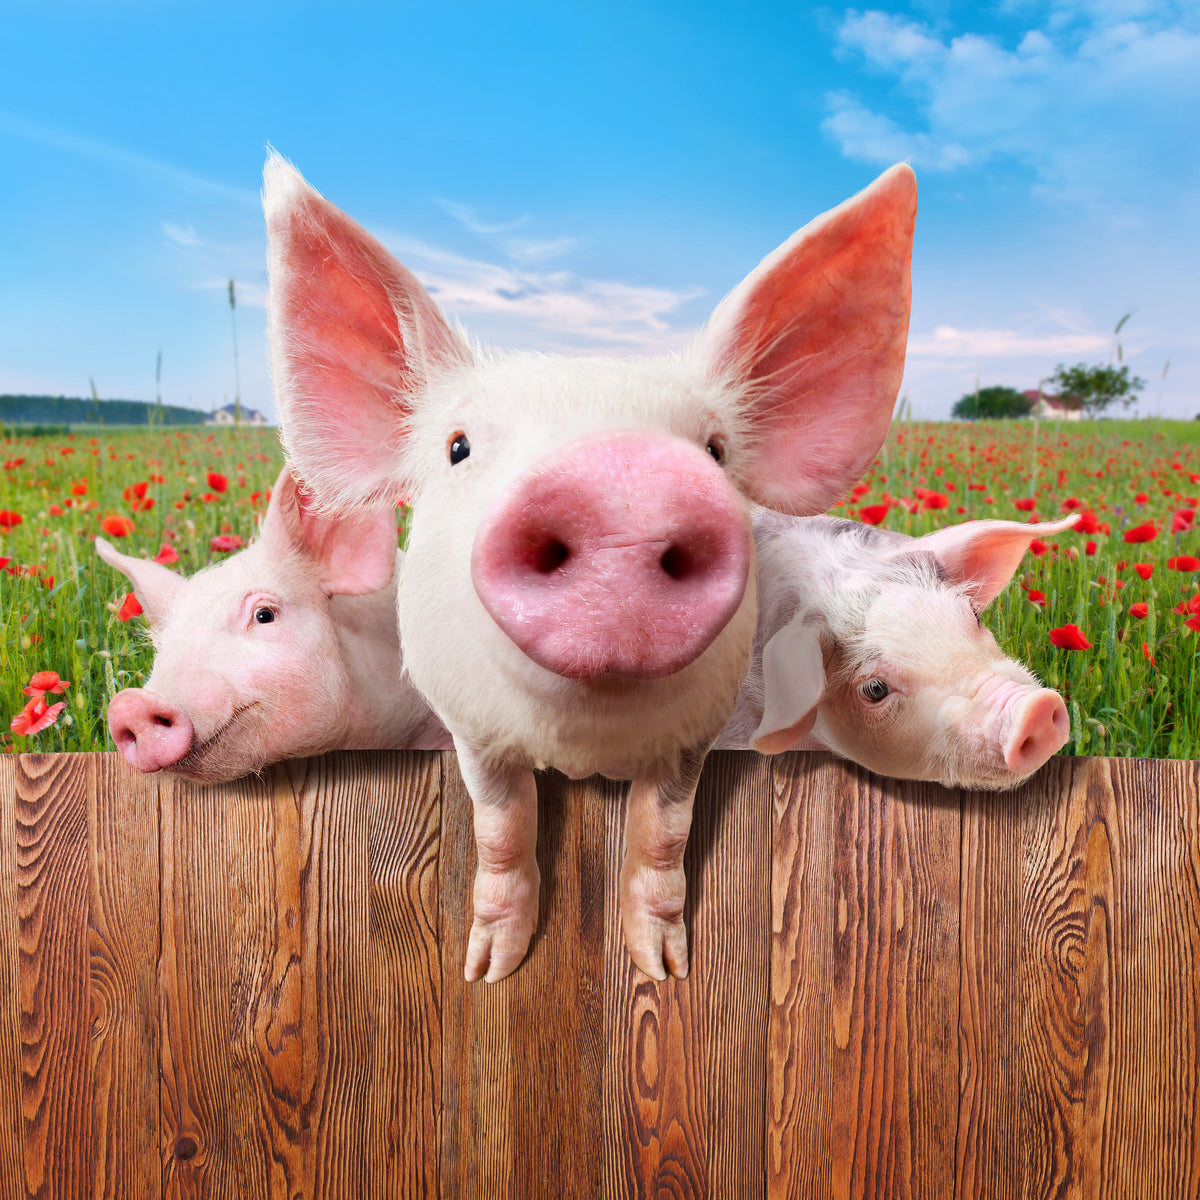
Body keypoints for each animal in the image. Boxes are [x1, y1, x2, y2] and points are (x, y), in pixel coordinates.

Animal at [263, 154, 917, 981]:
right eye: (457, 447)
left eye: (714, 451)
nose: (620, 476)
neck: (581, 747)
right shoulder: (469, 728)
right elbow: (501, 829)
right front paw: (488, 970)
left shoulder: (697, 735)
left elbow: (663, 835)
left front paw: (664, 970)